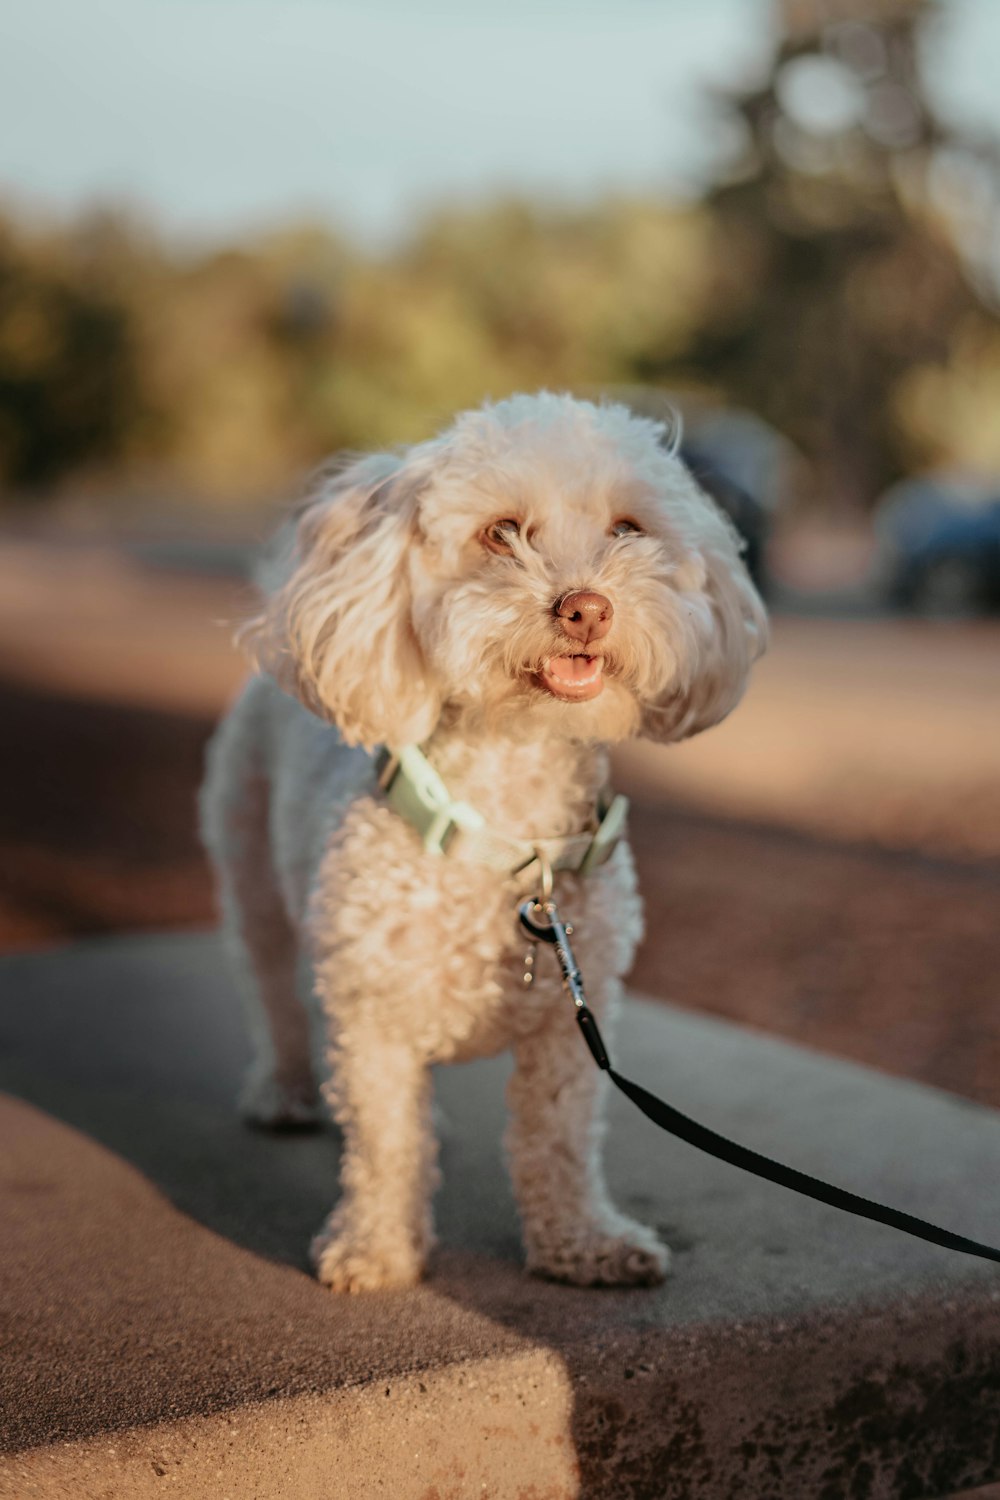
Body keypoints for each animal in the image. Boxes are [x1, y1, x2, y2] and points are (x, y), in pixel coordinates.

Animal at [200, 393, 767, 1296]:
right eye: (503, 532)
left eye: (627, 529)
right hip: (249, 872)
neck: (510, 837)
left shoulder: (573, 1029)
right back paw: (283, 1090)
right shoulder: (373, 1018)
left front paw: (581, 1243)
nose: (586, 608)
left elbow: (558, 1143)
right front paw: (375, 1249)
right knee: (274, 997)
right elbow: (386, 1145)